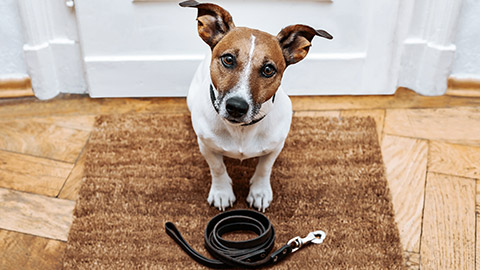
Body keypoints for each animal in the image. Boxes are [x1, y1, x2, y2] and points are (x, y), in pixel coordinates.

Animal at [180, 0, 330, 212]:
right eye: (228, 59)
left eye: (268, 70)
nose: (236, 106)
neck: (241, 130)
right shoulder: (206, 146)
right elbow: (217, 168)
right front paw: (221, 192)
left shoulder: (275, 147)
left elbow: (264, 168)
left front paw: (259, 192)